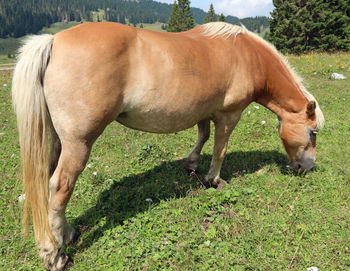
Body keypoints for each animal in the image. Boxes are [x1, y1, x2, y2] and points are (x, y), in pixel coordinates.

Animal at [11, 22, 326, 270]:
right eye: (312, 133)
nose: (306, 167)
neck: (246, 55)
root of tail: (53, 41)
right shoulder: (229, 115)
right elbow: (220, 148)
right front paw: (215, 180)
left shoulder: (204, 111)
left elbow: (203, 136)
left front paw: (191, 164)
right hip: (79, 143)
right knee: (60, 187)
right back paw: (54, 254)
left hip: (58, 140)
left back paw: (66, 234)